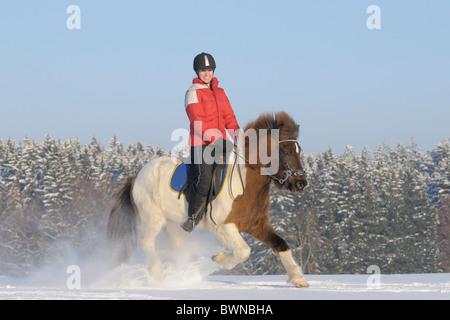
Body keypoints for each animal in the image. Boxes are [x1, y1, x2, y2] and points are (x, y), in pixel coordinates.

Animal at [106, 110, 310, 288]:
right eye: (284, 150)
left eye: (298, 150)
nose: (301, 184)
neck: (245, 182)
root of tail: (136, 177)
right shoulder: (223, 226)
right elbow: (243, 251)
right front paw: (217, 258)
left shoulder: (258, 225)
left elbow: (281, 245)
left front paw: (298, 279)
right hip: (152, 219)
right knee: (147, 243)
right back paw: (158, 275)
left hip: (174, 225)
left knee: (177, 251)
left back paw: (180, 277)